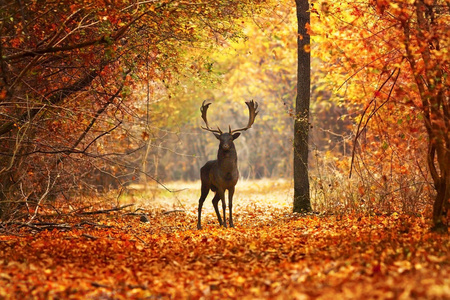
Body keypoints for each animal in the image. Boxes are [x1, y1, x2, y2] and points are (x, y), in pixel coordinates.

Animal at [198, 99, 260, 229]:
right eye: (221, 139)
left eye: (231, 138)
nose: (225, 146)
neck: (227, 174)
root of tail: (202, 167)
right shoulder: (220, 185)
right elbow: (224, 204)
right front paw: (227, 224)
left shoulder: (232, 185)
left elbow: (231, 204)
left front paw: (231, 223)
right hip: (205, 183)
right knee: (201, 201)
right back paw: (199, 225)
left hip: (214, 188)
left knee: (213, 201)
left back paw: (220, 222)